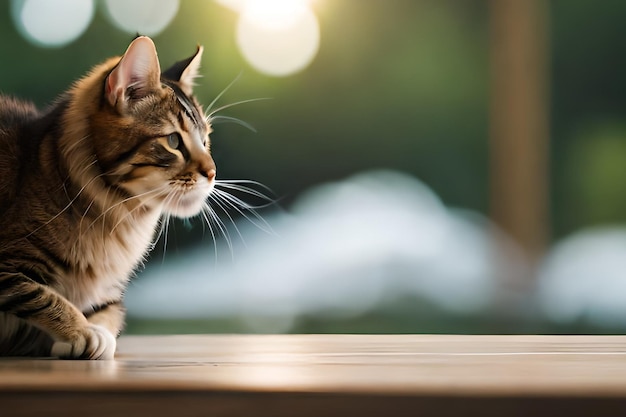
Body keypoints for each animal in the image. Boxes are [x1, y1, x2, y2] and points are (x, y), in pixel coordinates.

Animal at [0, 37, 217, 360]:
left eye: (205, 141)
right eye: (173, 141)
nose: (213, 173)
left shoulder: (112, 295)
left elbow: (110, 316)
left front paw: (92, 334)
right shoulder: (7, 265)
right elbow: (42, 295)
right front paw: (80, 330)